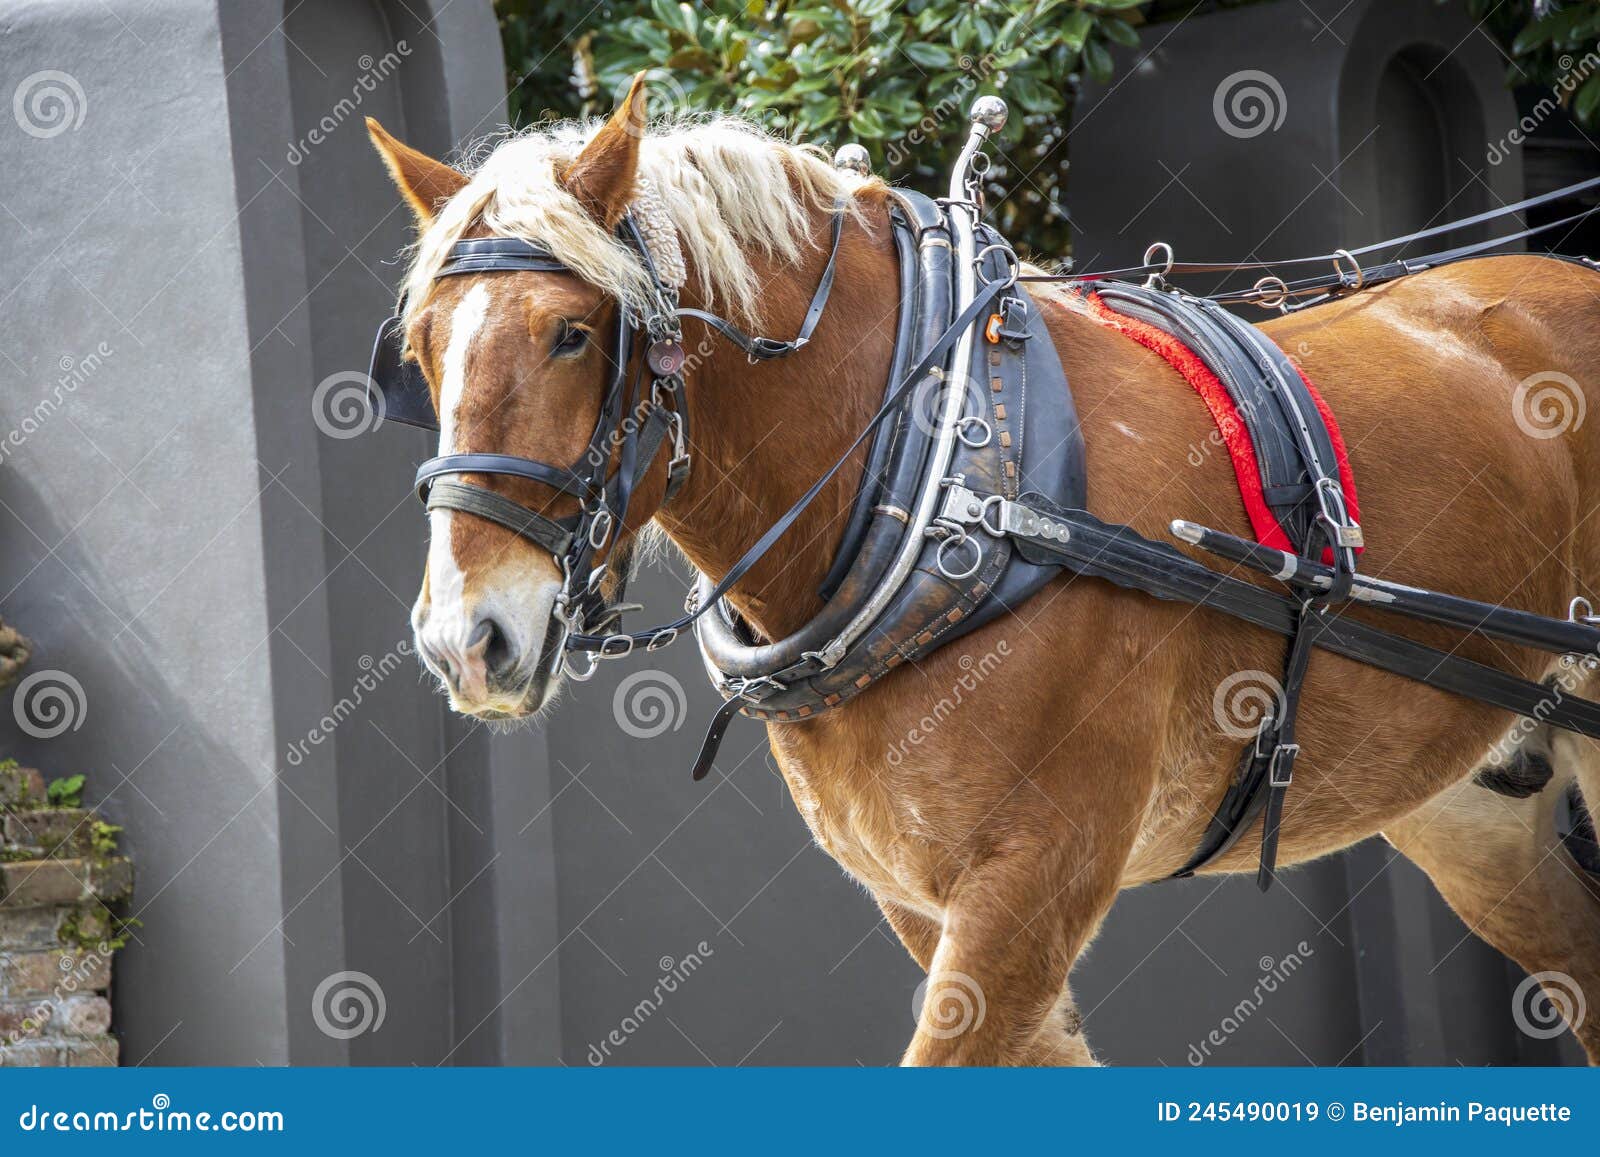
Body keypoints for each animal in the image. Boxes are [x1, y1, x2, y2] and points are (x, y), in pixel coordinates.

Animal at [366, 75, 1600, 1065]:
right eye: (422, 347)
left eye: (573, 333)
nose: (464, 639)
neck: (953, 470)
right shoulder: (925, 899)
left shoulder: (1037, 876)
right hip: (1471, 804)